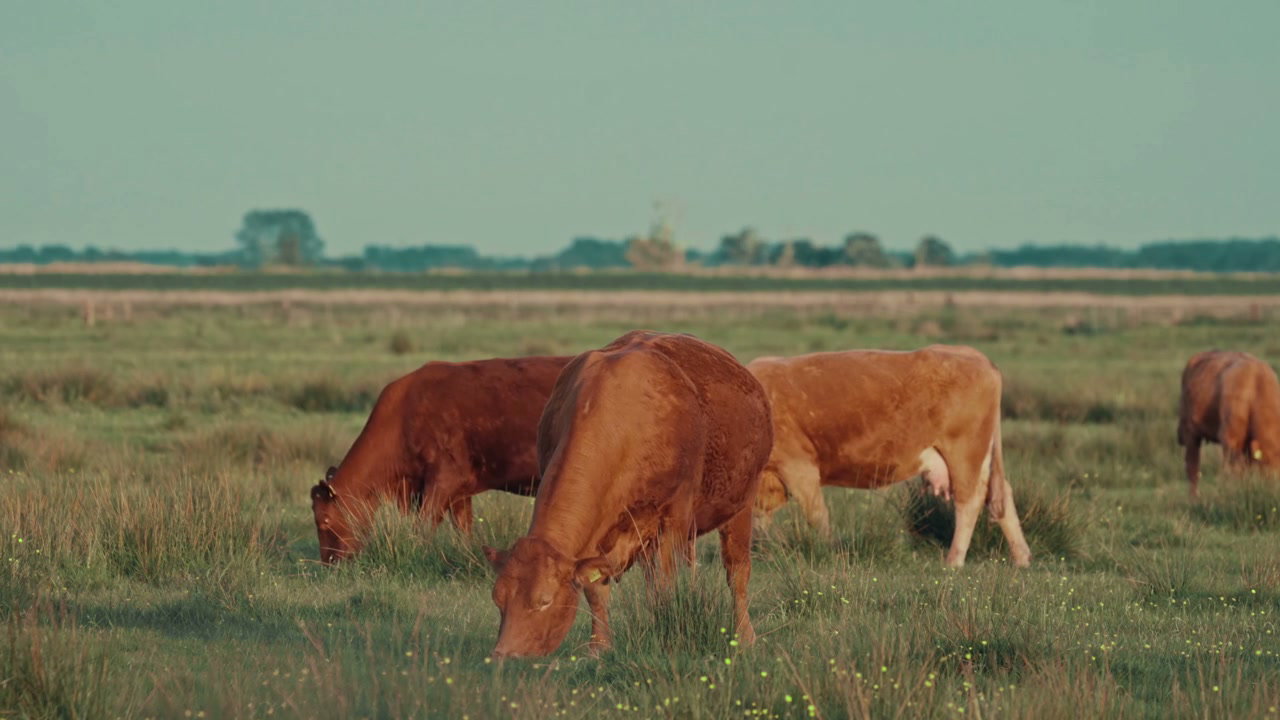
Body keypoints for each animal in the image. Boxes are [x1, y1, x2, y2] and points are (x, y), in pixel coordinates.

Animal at [309, 355, 571, 564]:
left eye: (324, 522)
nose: (329, 563)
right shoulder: (460, 491)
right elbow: (463, 529)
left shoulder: (444, 480)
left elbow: (424, 526)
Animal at [483, 330, 773, 658]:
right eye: (498, 599)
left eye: (544, 601)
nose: (502, 656)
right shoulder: (597, 538)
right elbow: (597, 591)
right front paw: (599, 646)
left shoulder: (674, 517)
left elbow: (666, 585)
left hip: (741, 505)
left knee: (737, 573)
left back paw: (745, 636)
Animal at [748, 345, 1032, 568]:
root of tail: (971, 353)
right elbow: (759, 520)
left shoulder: (799, 466)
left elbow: (817, 514)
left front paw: (828, 551)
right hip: (981, 457)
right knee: (1001, 495)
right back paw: (1021, 558)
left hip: (964, 452)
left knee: (969, 499)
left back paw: (954, 560)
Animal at [1177, 350, 1280, 498]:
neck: (1256, 387)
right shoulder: (1230, 440)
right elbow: (1234, 472)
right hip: (1190, 433)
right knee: (1192, 467)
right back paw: (1194, 498)